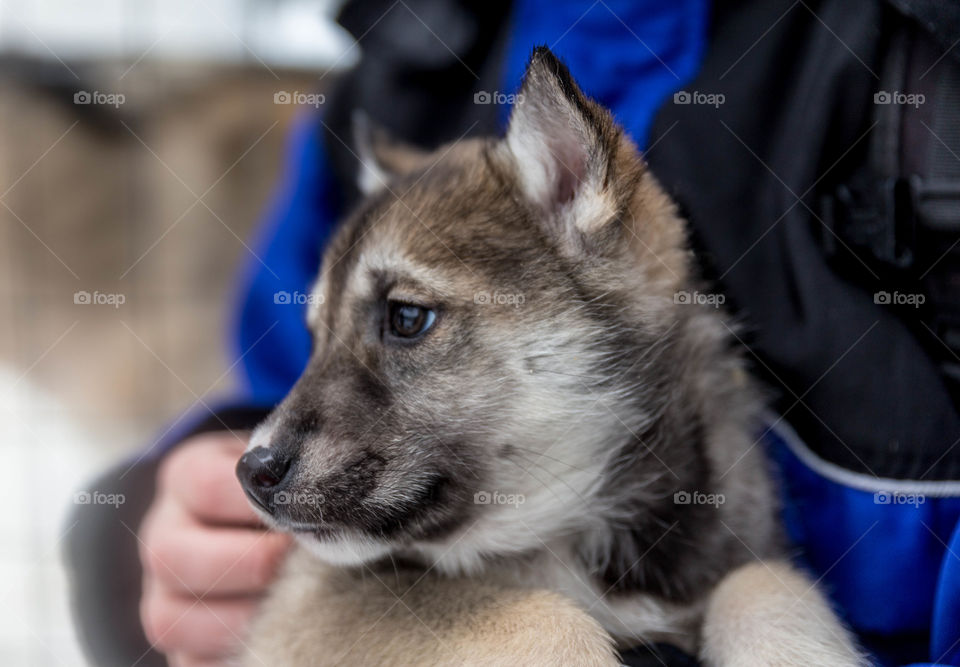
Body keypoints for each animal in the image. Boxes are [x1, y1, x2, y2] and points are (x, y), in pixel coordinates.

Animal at [236, 48, 868, 667]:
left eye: (407, 318)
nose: (250, 473)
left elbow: (762, 586)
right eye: (316, 334)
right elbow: (545, 618)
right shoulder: (311, 599)